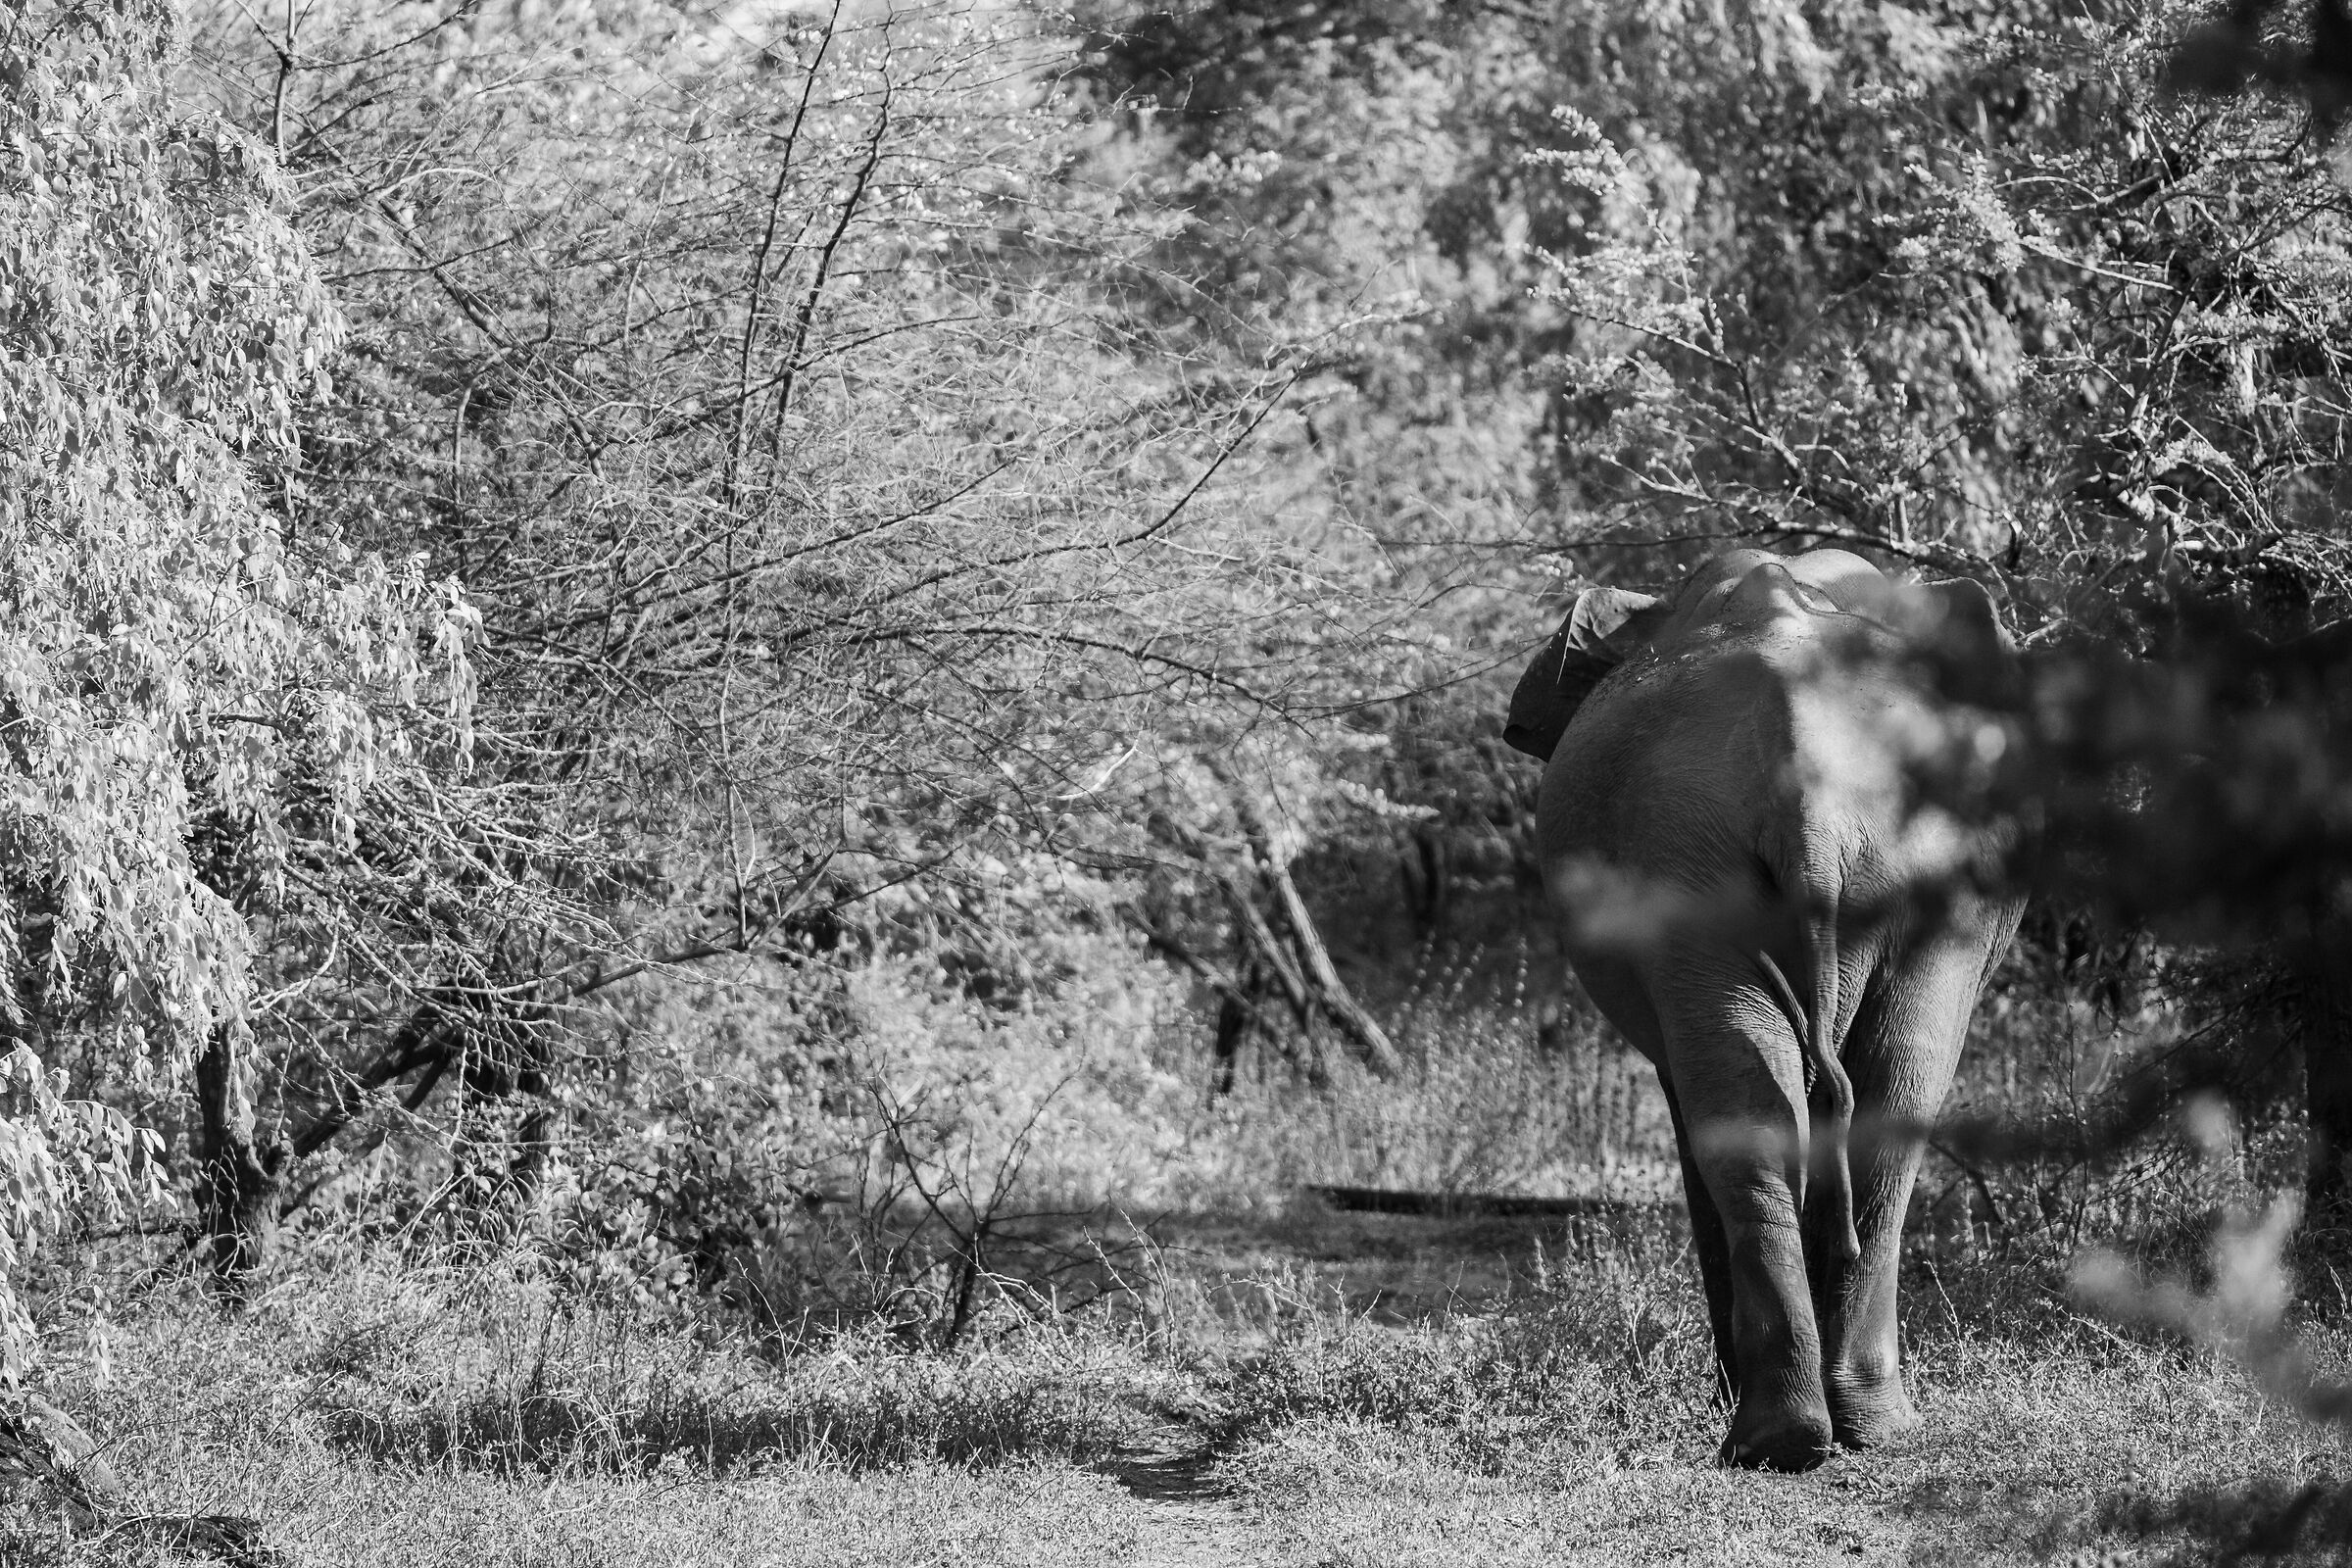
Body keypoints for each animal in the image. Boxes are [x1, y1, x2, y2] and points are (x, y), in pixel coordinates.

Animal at [1504, 547, 2025, 1471]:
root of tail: (1803, 776)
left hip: (1706, 862)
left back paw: (1794, 1435)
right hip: (1727, 862)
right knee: (1869, 1107)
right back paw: (1831, 1434)